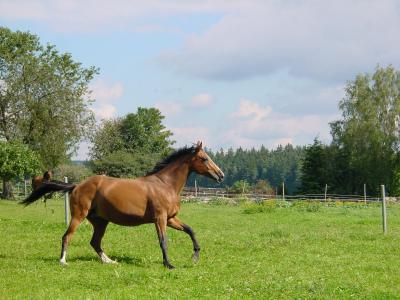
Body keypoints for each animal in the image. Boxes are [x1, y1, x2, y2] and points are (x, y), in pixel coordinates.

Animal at [21, 142, 223, 268]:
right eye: (204, 158)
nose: (220, 175)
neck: (165, 184)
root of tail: (77, 185)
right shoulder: (160, 218)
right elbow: (163, 241)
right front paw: (169, 264)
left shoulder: (171, 218)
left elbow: (190, 230)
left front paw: (195, 256)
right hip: (78, 216)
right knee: (67, 236)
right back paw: (63, 261)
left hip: (100, 221)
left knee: (95, 242)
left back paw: (109, 261)